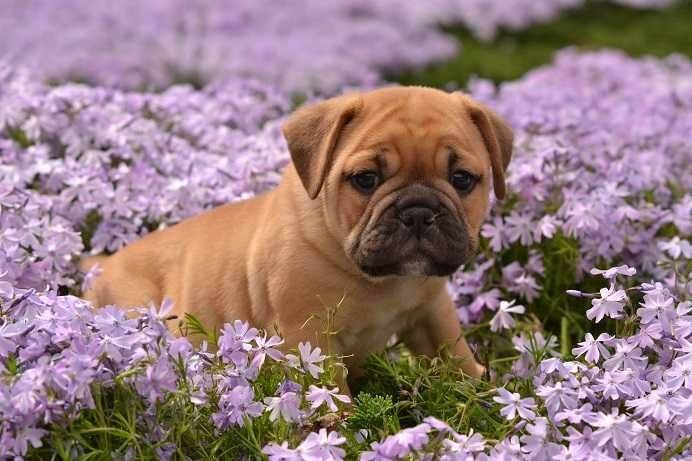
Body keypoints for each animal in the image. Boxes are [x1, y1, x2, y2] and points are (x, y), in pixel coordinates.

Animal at [82, 85, 512, 388]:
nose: (418, 212)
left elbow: (454, 352)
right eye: (365, 179)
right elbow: (330, 393)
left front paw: (481, 394)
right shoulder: (308, 333)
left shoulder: (432, 309)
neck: (381, 280)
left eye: (462, 179)